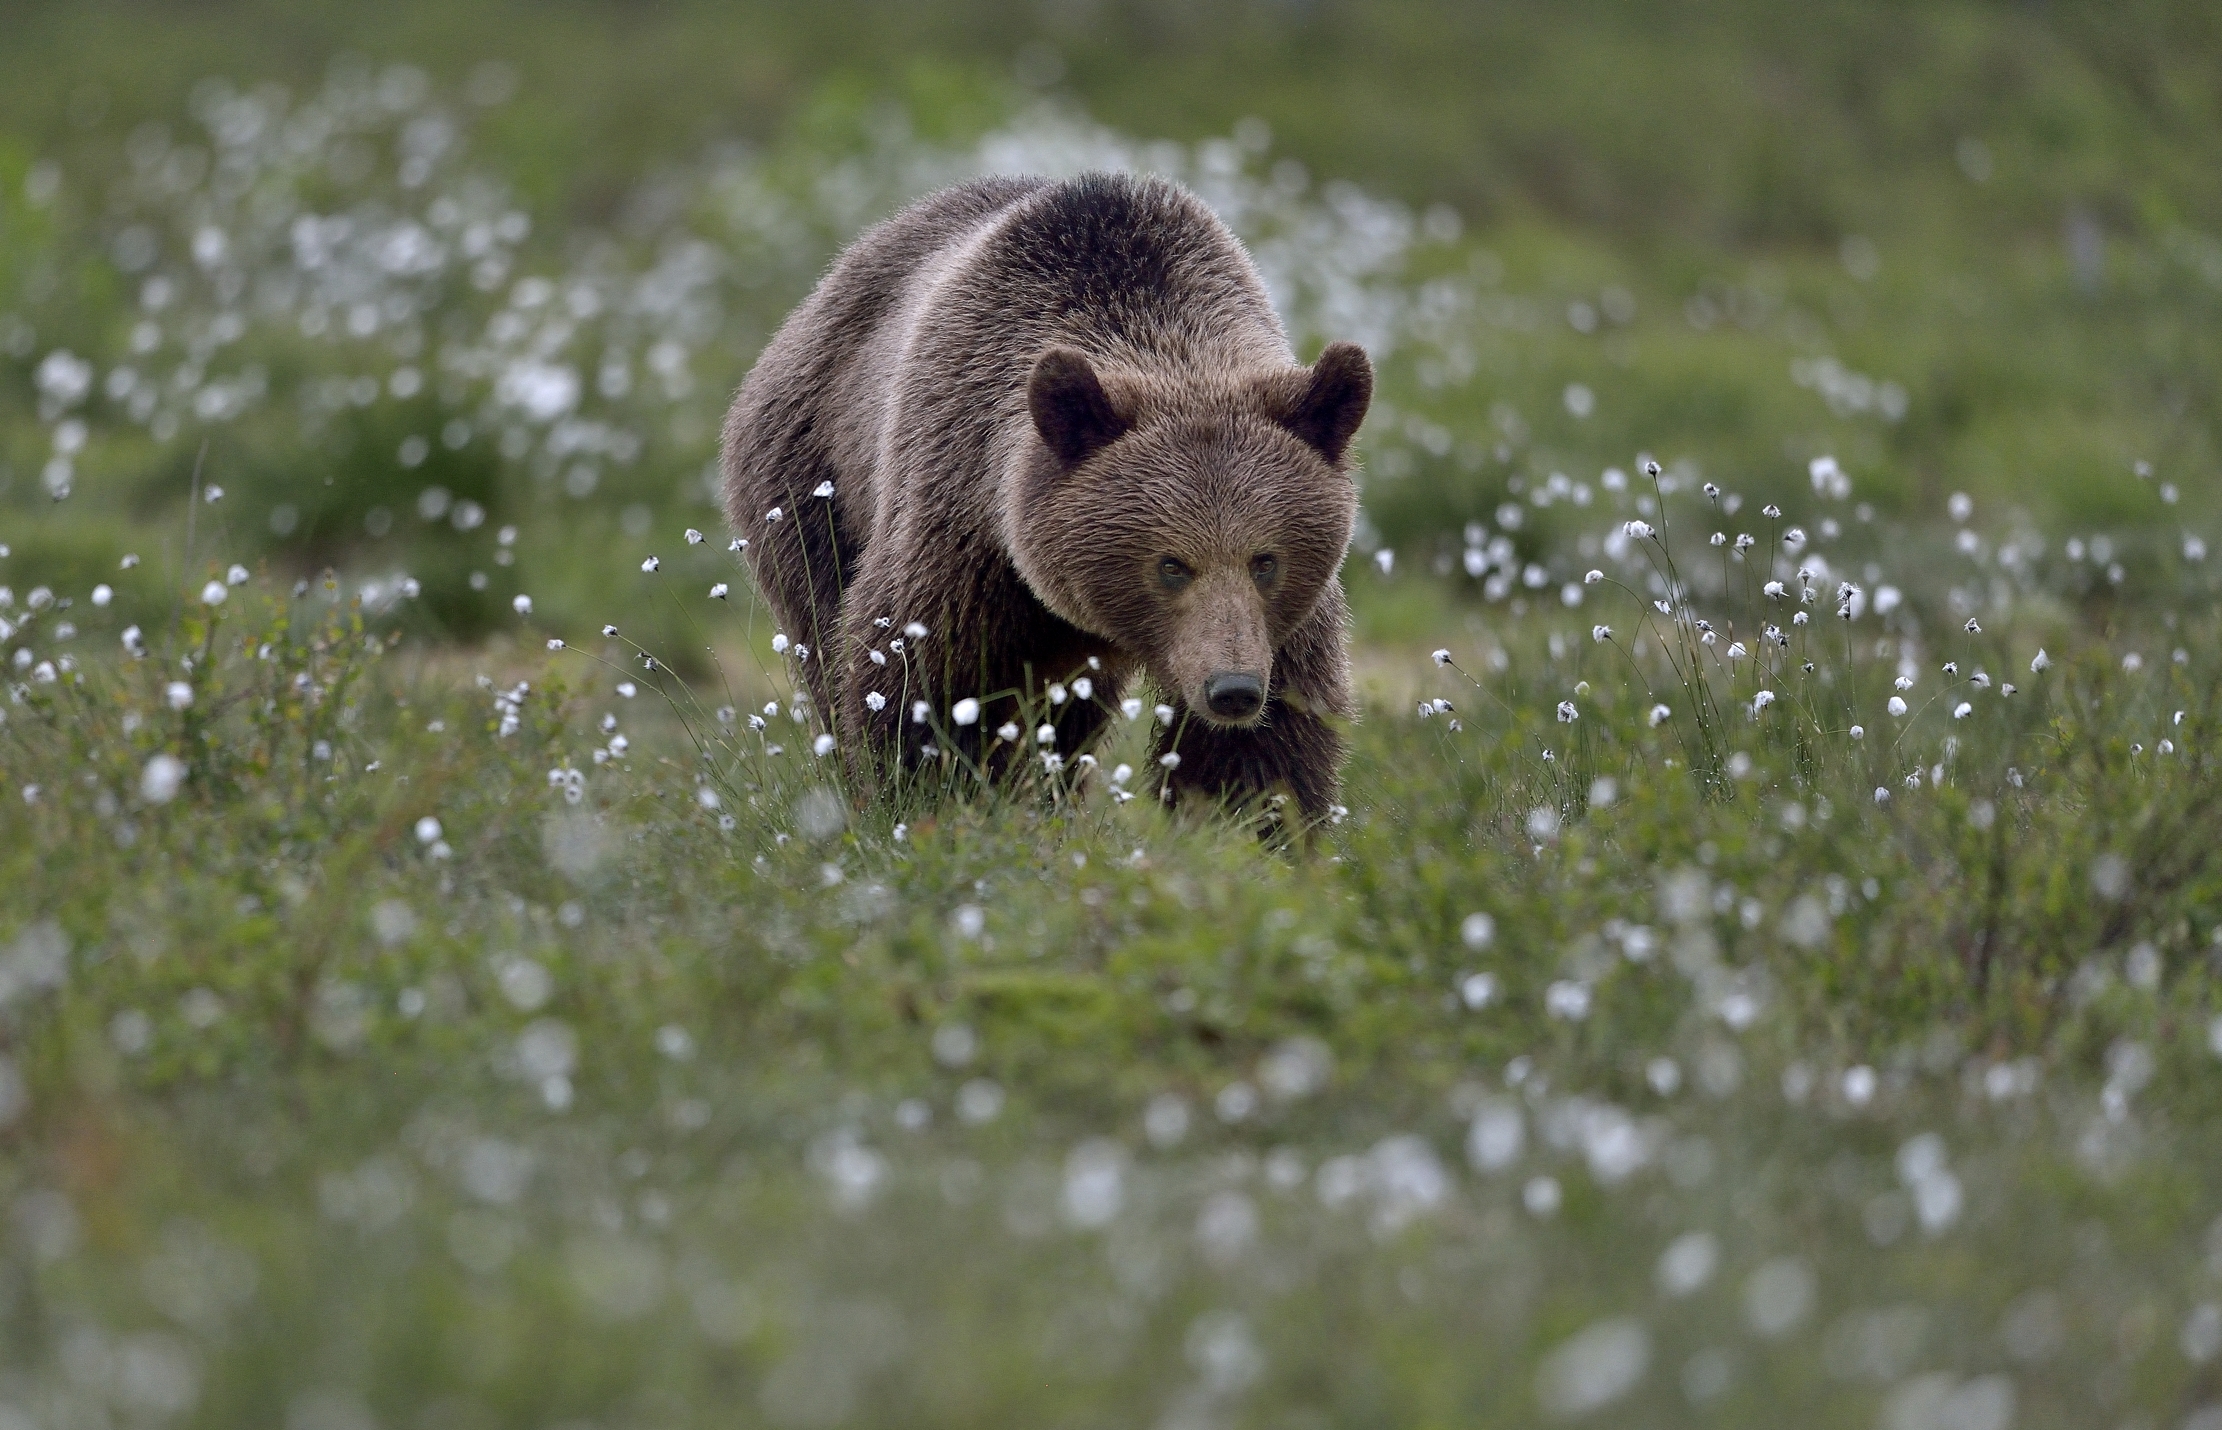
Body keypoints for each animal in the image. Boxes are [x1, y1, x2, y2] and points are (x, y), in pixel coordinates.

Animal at [719, 171, 1372, 821]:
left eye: (1266, 560)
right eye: (1170, 564)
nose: (1231, 689)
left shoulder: (1280, 623)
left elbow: (1269, 741)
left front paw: (1249, 820)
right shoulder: (964, 531)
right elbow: (920, 680)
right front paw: (927, 801)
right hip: (809, 483)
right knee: (822, 635)